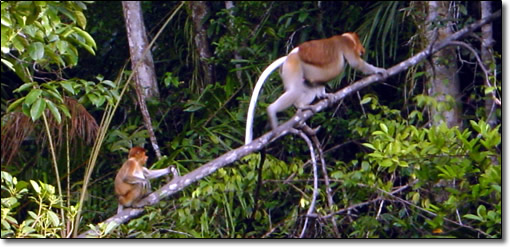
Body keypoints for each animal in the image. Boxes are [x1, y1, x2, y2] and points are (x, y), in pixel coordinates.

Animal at [246, 33, 386, 145]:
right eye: (358, 42)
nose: (363, 49)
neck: (344, 37)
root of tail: (290, 55)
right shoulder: (345, 45)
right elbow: (357, 63)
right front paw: (379, 70)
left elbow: (321, 83)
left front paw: (325, 96)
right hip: (293, 66)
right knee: (294, 90)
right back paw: (277, 110)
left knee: (311, 88)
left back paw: (303, 105)